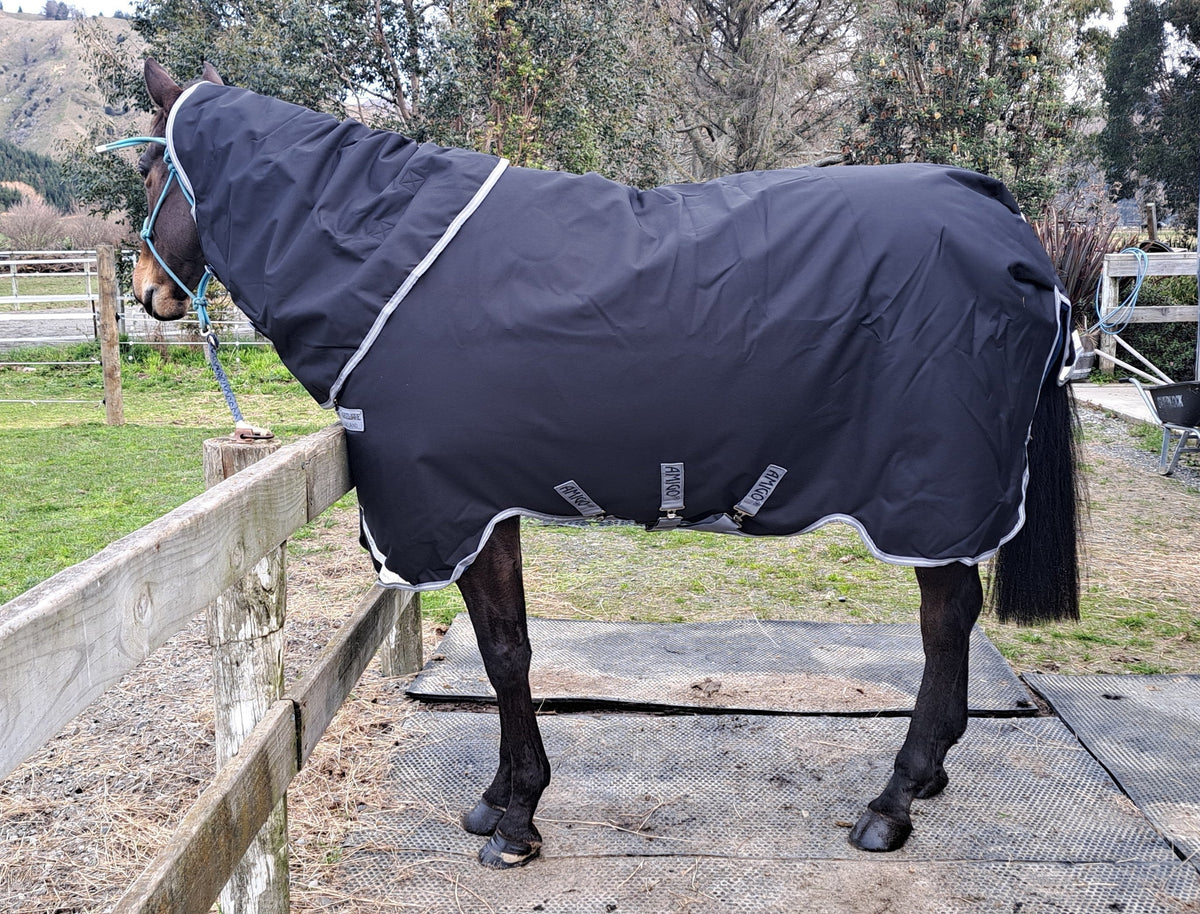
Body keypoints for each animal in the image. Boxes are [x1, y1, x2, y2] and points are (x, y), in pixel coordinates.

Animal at [117, 58, 1082, 869]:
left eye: (150, 174)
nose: (147, 293)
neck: (387, 260)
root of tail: (1003, 219)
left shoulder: (458, 509)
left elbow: (506, 653)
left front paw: (516, 821)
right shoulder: (486, 506)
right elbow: (504, 644)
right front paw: (498, 797)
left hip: (929, 495)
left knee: (944, 620)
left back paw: (892, 802)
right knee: (953, 620)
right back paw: (927, 775)